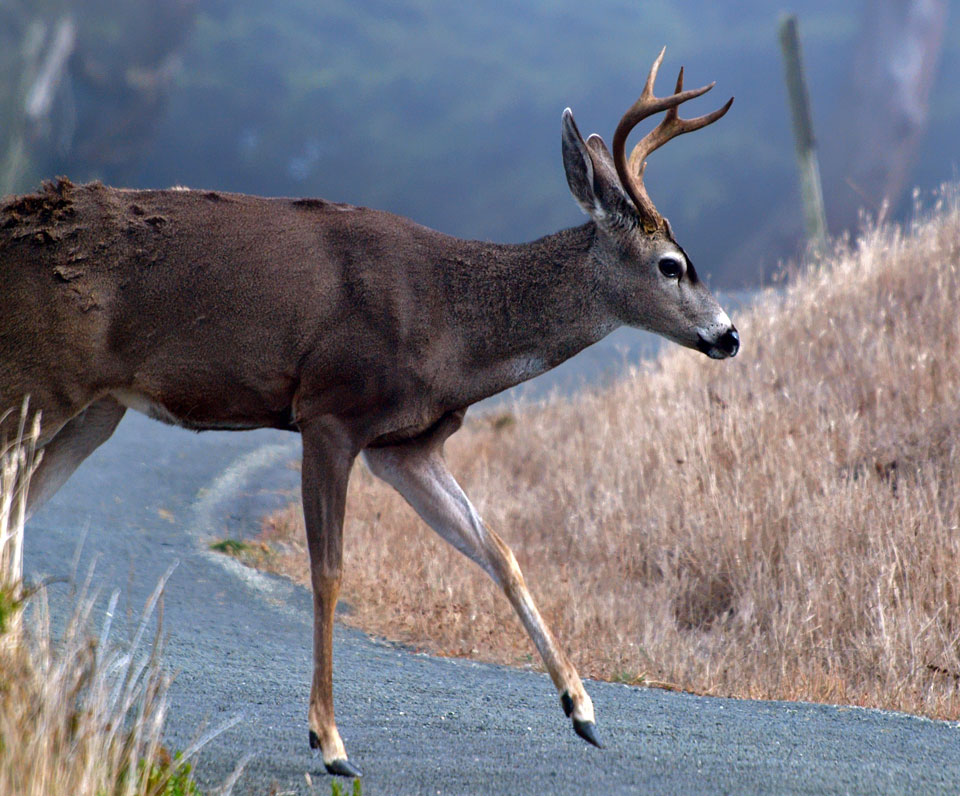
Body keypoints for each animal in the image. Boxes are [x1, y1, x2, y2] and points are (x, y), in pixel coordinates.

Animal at [0, 49, 740, 776]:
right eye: (672, 265)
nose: (730, 335)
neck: (452, 326)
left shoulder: (405, 444)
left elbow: (498, 550)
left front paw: (582, 710)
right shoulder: (330, 412)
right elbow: (328, 572)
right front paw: (329, 741)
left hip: (93, 410)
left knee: (19, 511)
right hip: (37, 380)